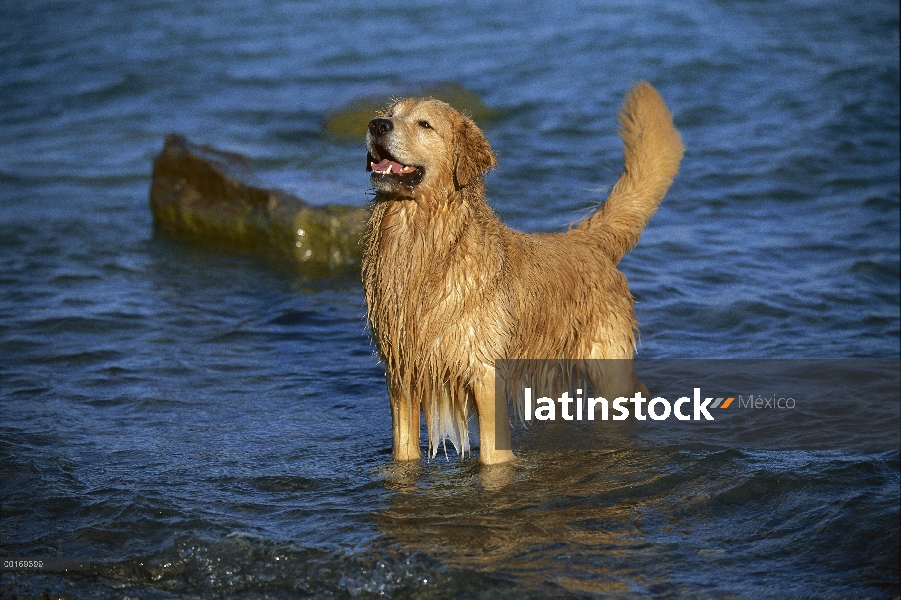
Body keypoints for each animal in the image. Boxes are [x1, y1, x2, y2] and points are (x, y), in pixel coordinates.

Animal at [360, 82, 684, 464]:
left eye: (425, 124)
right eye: (390, 114)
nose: (377, 125)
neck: (421, 240)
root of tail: (586, 239)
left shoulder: (484, 370)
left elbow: (493, 457)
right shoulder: (402, 375)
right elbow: (403, 452)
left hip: (609, 368)